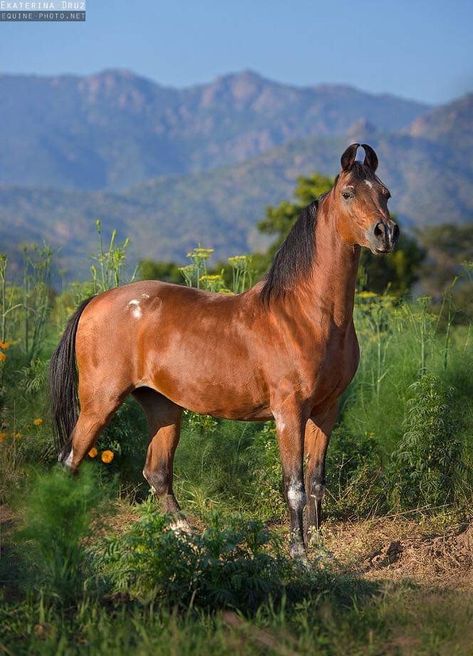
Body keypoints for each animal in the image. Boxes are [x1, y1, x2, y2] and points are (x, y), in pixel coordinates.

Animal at [49, 145, 398, 560]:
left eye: (385, 193)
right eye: (348, 193)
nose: (385, 232)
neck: (309, 314)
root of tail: (95, 301)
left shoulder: (327, 411)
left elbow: (316, 482)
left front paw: (321, 550)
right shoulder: (289, 412)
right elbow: (294, 487)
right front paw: (299, 556)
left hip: (162, 407)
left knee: (157, 473)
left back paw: (192, 541)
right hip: (100, 403)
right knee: (69, 462)